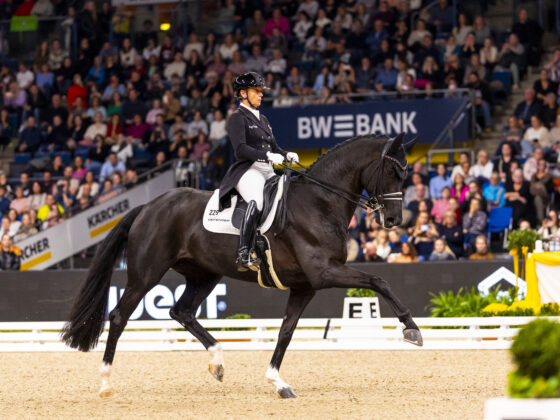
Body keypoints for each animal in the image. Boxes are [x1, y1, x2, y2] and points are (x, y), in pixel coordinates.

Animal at [61, 133, 422, 398]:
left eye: (407, 173)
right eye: (393, 171)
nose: (393, 220)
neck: (319, 203)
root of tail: (149, 205)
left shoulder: (304, 286)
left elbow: (286, 332)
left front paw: (278, 382)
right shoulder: (323, 274)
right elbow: (378, 281)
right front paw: (412, 330)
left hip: (204, 275)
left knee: (182, 311)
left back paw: (218, 363)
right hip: (146, 274)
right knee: (119, 316)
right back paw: (105, 383)